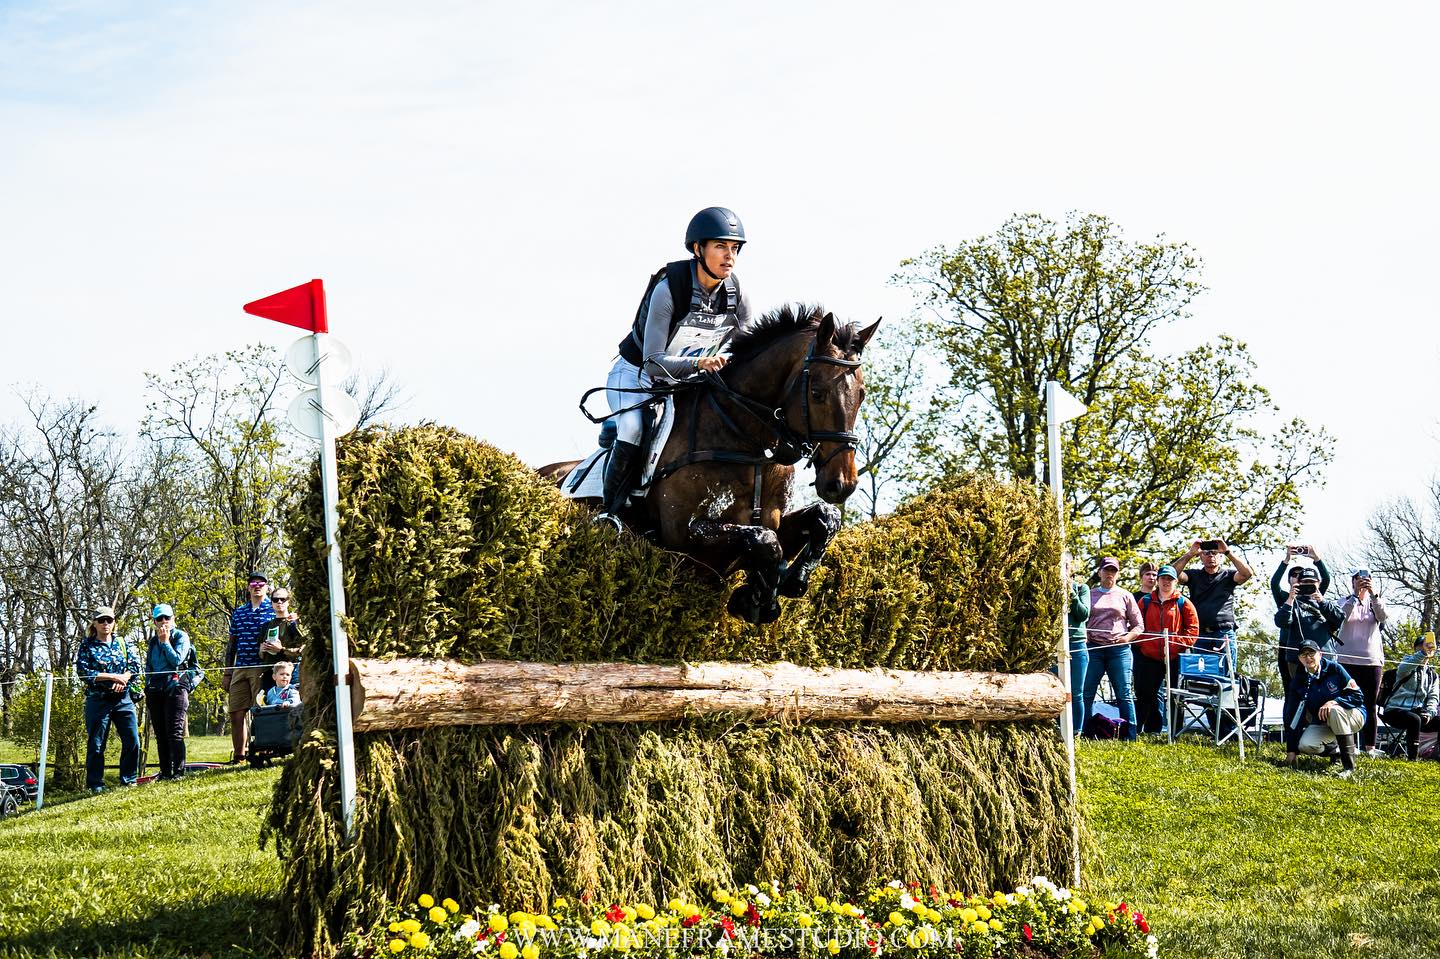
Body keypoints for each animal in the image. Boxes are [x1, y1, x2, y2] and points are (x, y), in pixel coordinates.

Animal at [542, 304, 879, 624]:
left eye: (862, 394)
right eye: (817, 393)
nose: (842, 484)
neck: (749, 444)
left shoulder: (773, 521)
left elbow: (824, 517)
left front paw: (787, 582)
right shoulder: (684, 539)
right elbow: (764, 540)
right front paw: (759, 599)